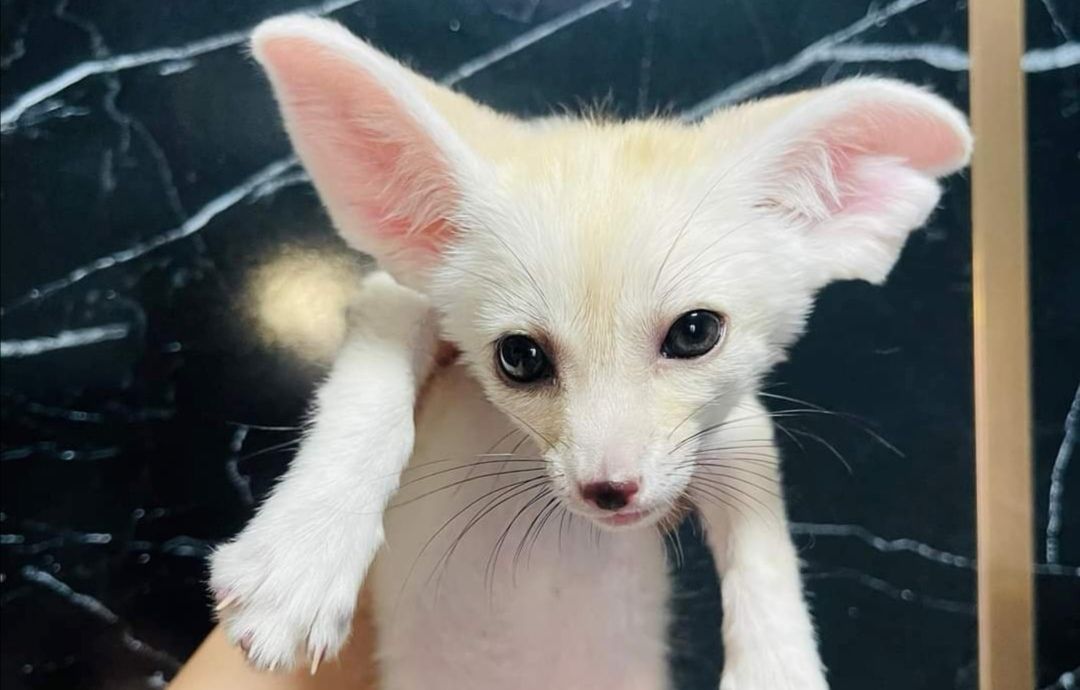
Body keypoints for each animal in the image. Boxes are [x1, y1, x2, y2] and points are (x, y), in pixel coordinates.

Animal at [209, 15, 972, 690]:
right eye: (519, 357)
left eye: (695, 333)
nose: (608, 490)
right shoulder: (395, 295)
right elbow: (368, 389)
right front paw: (303, 555)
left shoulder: (732, 426)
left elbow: (761, 529)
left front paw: (776, 668)